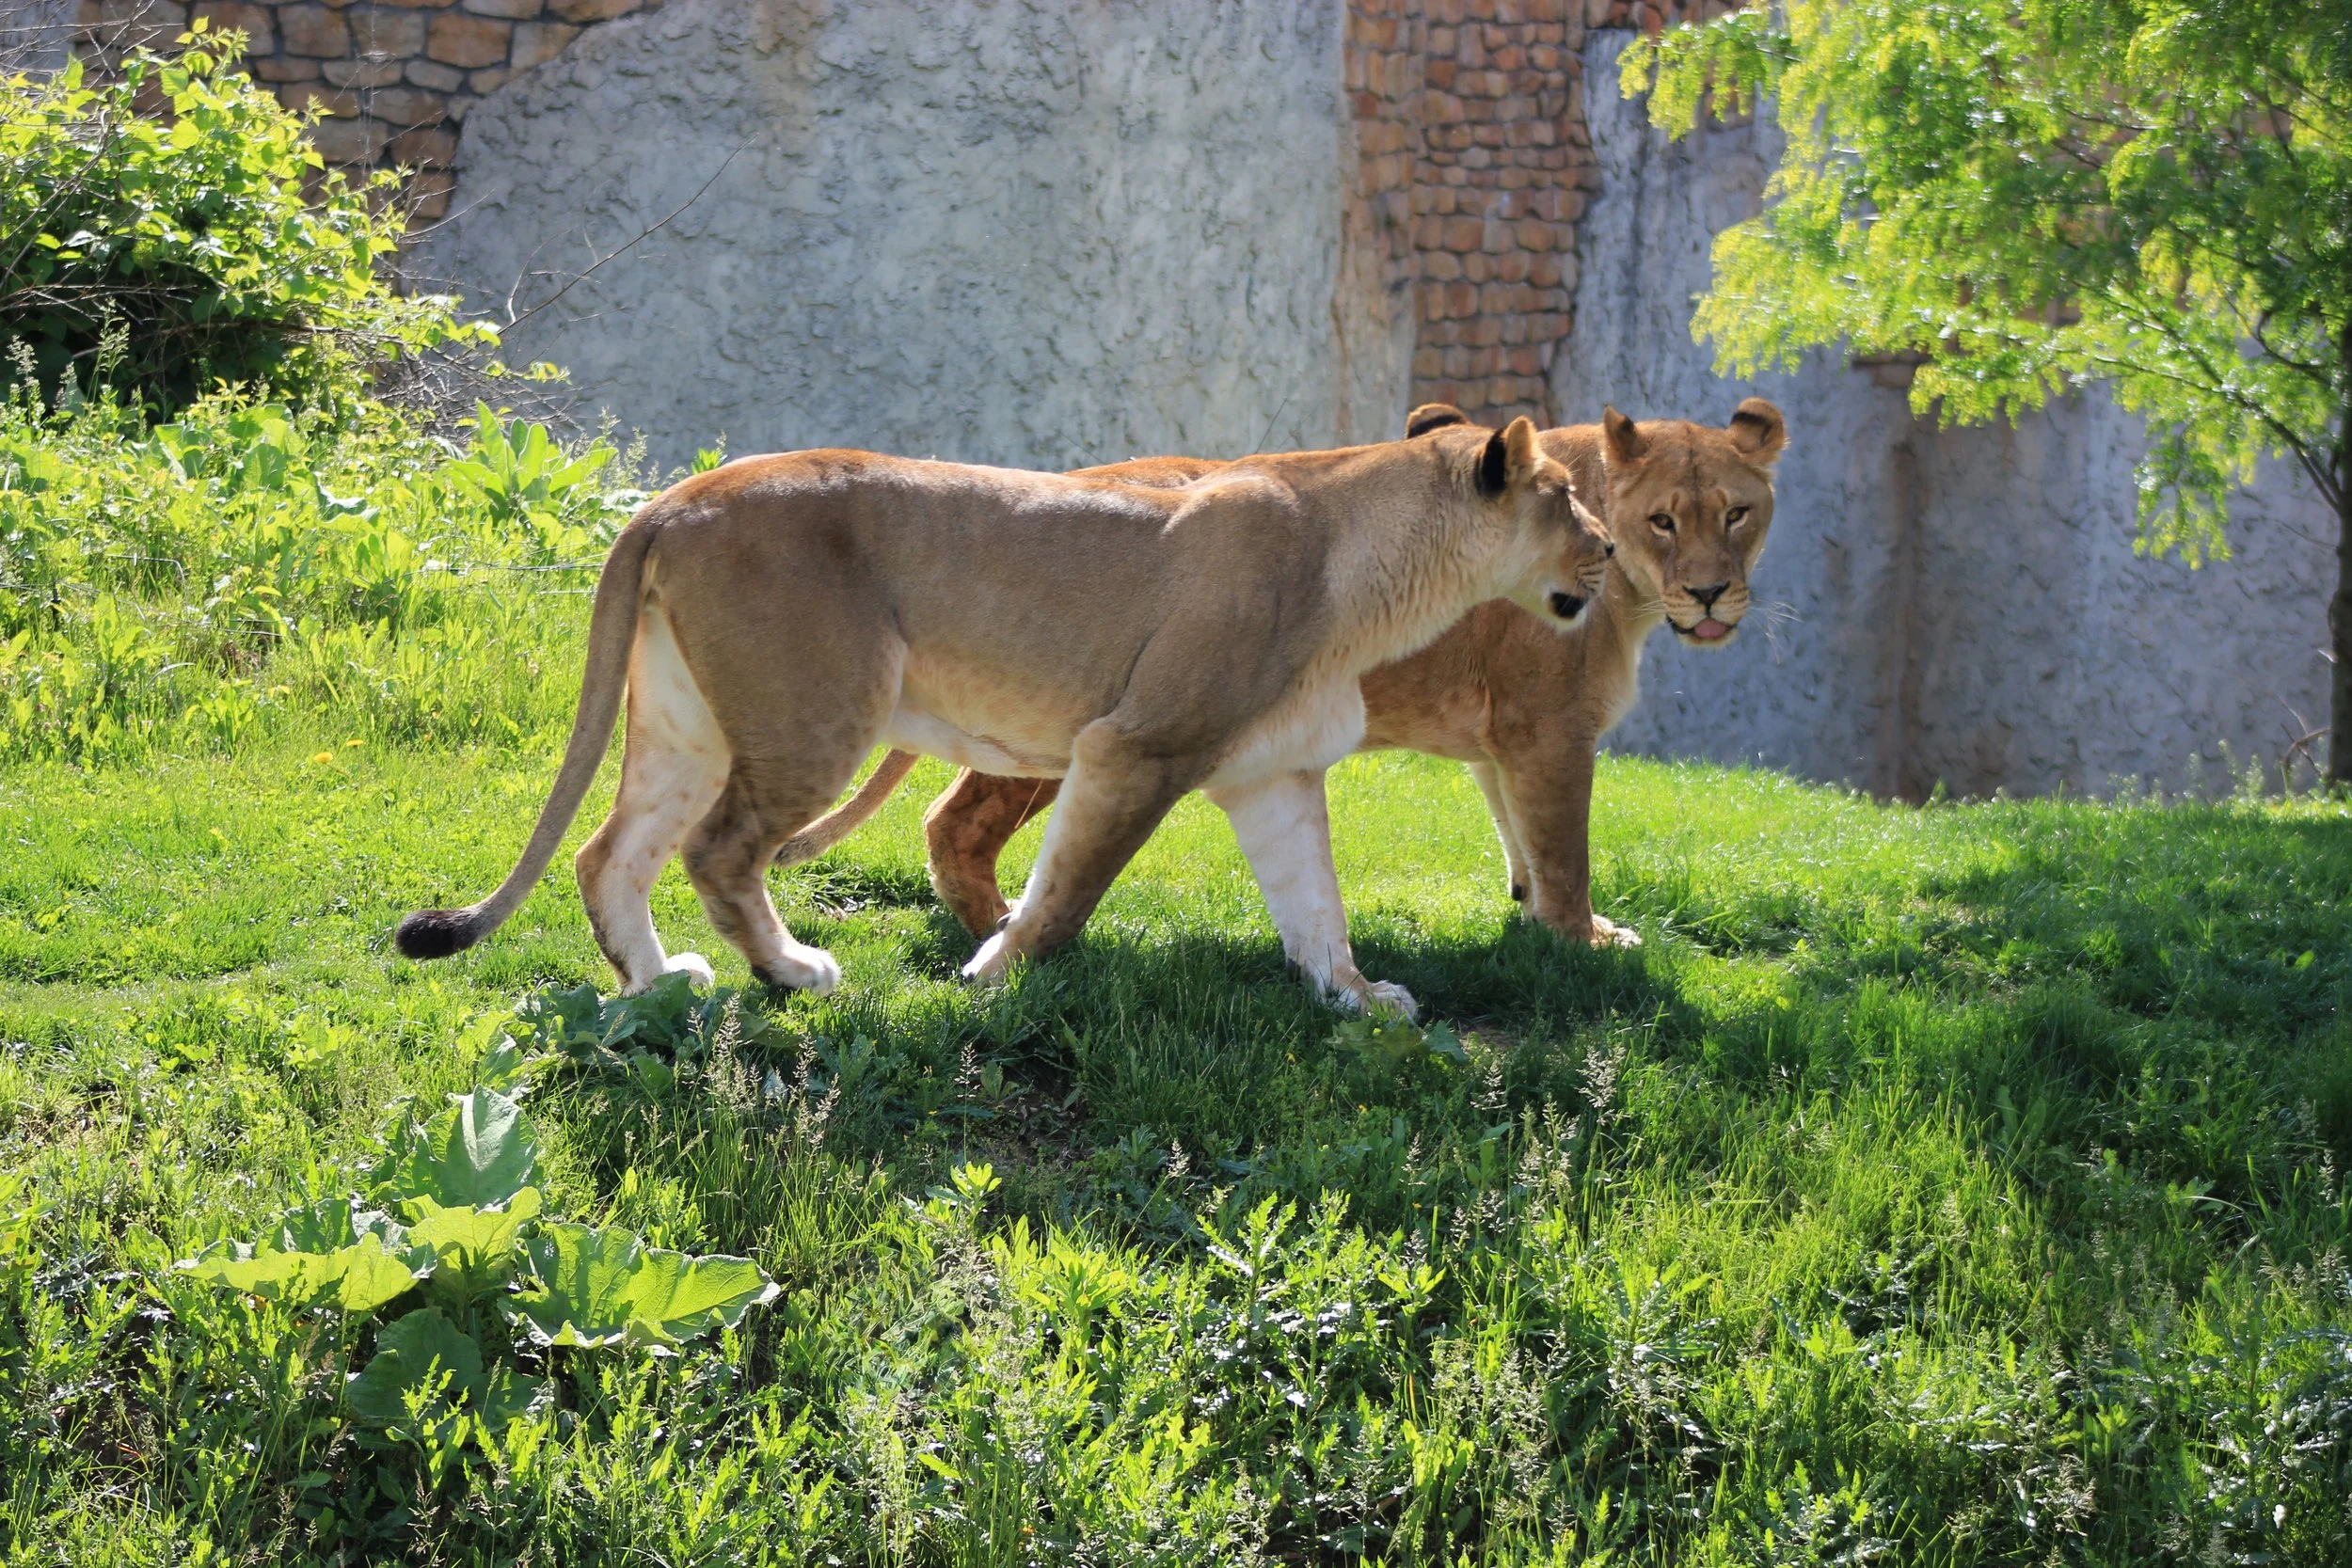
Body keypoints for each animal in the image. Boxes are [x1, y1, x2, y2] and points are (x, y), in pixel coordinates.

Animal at [393, 419, 1614, 1017]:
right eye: (1564, 495)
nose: (1607, 547)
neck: (1375, 571)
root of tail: (675, 495)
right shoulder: (1136, 744)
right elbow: (1067, 890)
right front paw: (994, 974)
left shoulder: (1272, 771)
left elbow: (1317, 904)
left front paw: (1359, 999)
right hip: (819, 709)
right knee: (718, 848)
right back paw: (790, 971)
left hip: (689, 725)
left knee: (611, 852)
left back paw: (656, 987)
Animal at [786, 398, 1785, 949]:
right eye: (1665, 520)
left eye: (1738, 513)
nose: (1709, 594)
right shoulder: (1547, 727)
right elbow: (1565, 848)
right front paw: (1583, 941)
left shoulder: (1501, 742)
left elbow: (1519, 835)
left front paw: (1529, 912)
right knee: (954, 822)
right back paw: (1002, 928)